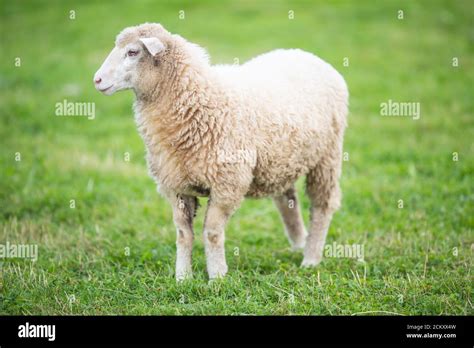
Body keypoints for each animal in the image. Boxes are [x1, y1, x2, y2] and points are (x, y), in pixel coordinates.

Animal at [94, 23, 350, 280]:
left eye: (132, 52)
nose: (96, 80)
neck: (200, 101)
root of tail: (305, 54)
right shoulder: (176, 185)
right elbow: (183, 234)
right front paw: (183, 277)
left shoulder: (227, 184)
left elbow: (212, 232)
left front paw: (217, 276)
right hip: (281, 160)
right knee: (288, 201)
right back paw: (299, 244)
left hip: (327, 156)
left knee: (322, 206)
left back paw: (311, 258)